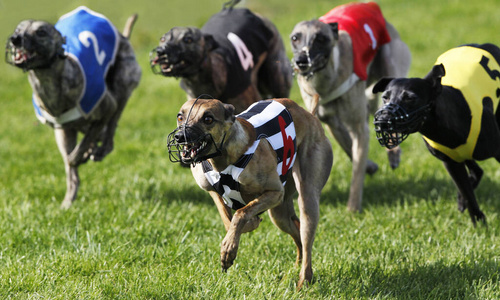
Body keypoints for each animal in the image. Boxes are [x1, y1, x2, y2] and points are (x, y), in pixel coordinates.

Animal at [5, 7, 143, 209]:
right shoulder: (62, 131)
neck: (49, 83)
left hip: (123, 83)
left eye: (41, 32)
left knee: (109, 130)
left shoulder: (107, 107)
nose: (15, 38)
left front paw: (81, 155)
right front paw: (68, 200)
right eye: (18, 29)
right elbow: (73, 167)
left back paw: (99, 149)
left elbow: (77, 152)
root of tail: (122, 36)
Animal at [166, 97, 334, 290]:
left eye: (208, 119)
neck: (224, 159)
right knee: (296, 231)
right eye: (180, 116)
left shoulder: (275, 193)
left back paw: (303, 282)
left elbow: (240, 213)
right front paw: (238, 234)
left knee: (306, 237)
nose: (180, 137)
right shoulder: (211, 189)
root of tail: (309, 114)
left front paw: (229, 249)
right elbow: (228, 219)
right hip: (280, 214)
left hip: (307, 195)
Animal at [372, 42, 500, 225]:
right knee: (477, 171)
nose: (383, 120)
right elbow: (468, 193)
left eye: (410, 98)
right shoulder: (452, 163)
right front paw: (478, 221)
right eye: (385, 97)